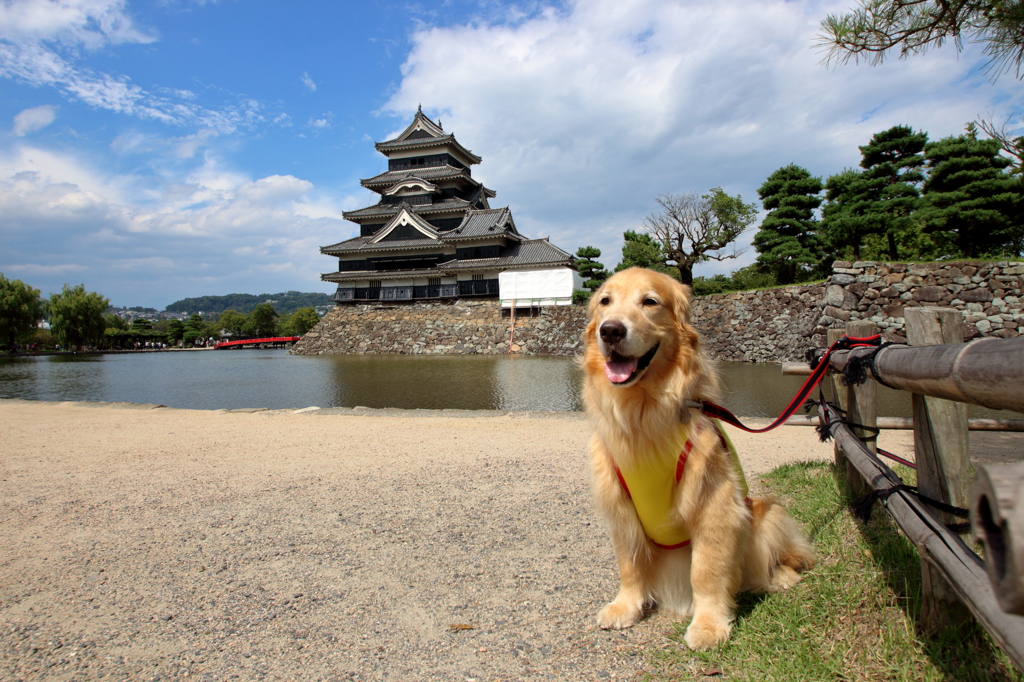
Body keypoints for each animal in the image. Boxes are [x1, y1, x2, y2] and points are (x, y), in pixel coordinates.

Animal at [585, 266, 815, 647]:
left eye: (650, 302)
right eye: (605, 301)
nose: (611, 330)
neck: (643, 412)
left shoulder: (715, 504)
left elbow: (706, 571)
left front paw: (708, 625)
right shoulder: (620, 506)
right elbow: (629, 563)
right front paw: (626, 607)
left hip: (766, 513)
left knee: (776, 560)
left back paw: (780, 577)